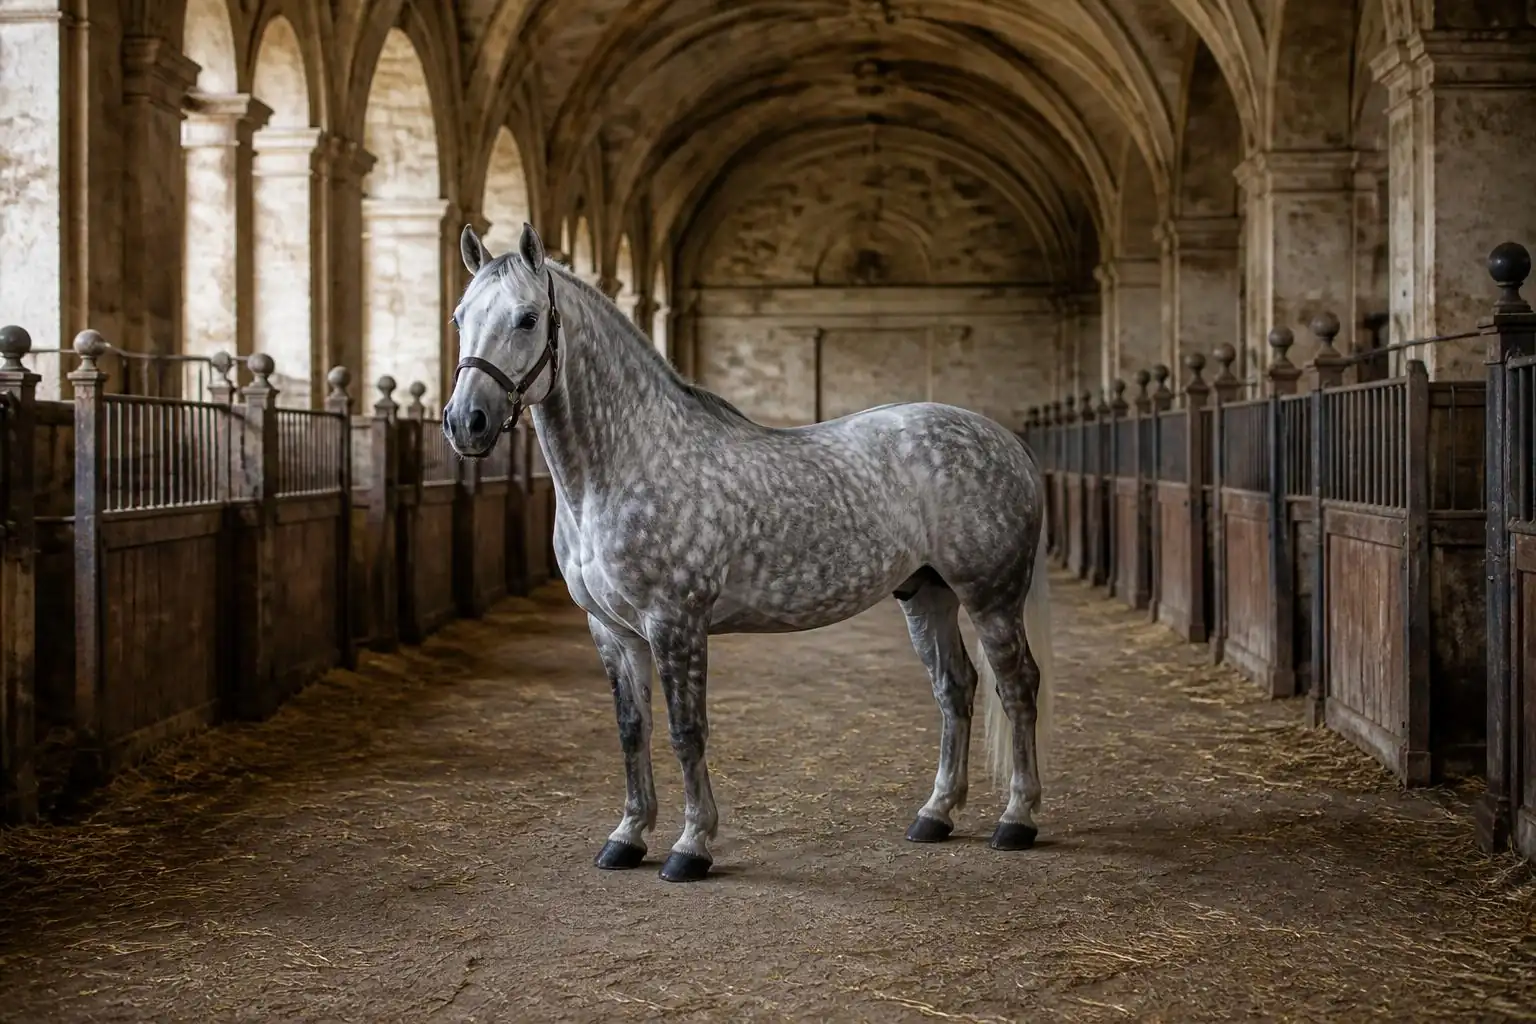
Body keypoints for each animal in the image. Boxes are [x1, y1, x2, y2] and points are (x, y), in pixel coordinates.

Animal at [442, 222, 1055, 883]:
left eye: (528, 318)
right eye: (458, 318)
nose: (466, 422)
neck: (631, 461)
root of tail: (1005, 440)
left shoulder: (675, 623)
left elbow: (687, 731)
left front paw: (691, 846)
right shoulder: (611, 629)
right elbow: (632, 729)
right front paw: (627, 837)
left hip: (991, 597)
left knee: (1017, 686)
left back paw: (1017, 819)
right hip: (926, 592)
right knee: (955, 687)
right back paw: (935, 815)